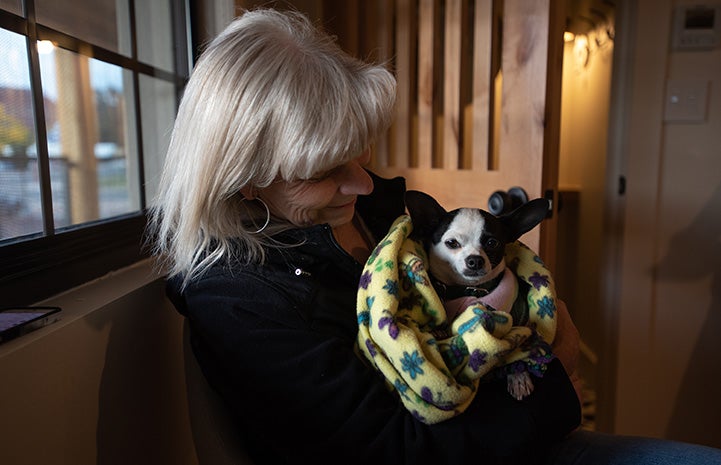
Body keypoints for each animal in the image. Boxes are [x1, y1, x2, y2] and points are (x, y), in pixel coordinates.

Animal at [404, 188, 552, 398]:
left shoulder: (520, 322)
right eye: (452, 243)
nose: (475, 260)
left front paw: (519, 376)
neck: (471, 290)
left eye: (492, 242)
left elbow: (517, 348)